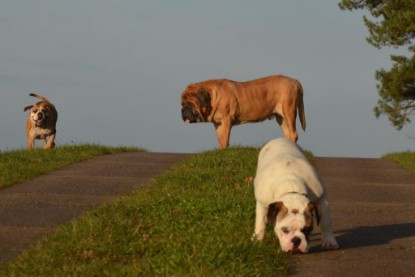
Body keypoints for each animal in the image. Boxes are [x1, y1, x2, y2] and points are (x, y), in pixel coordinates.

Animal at [180, 74, 308, 148]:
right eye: (182, 103)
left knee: (293, 133)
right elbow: (220, 139)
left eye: (190, 103)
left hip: (289, 111)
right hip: (281, 118)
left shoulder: (226, 120)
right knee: (288, 133)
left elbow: (224, 139)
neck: (211, 98)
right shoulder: (218, 123)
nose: (182, 110)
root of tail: (294, 81)